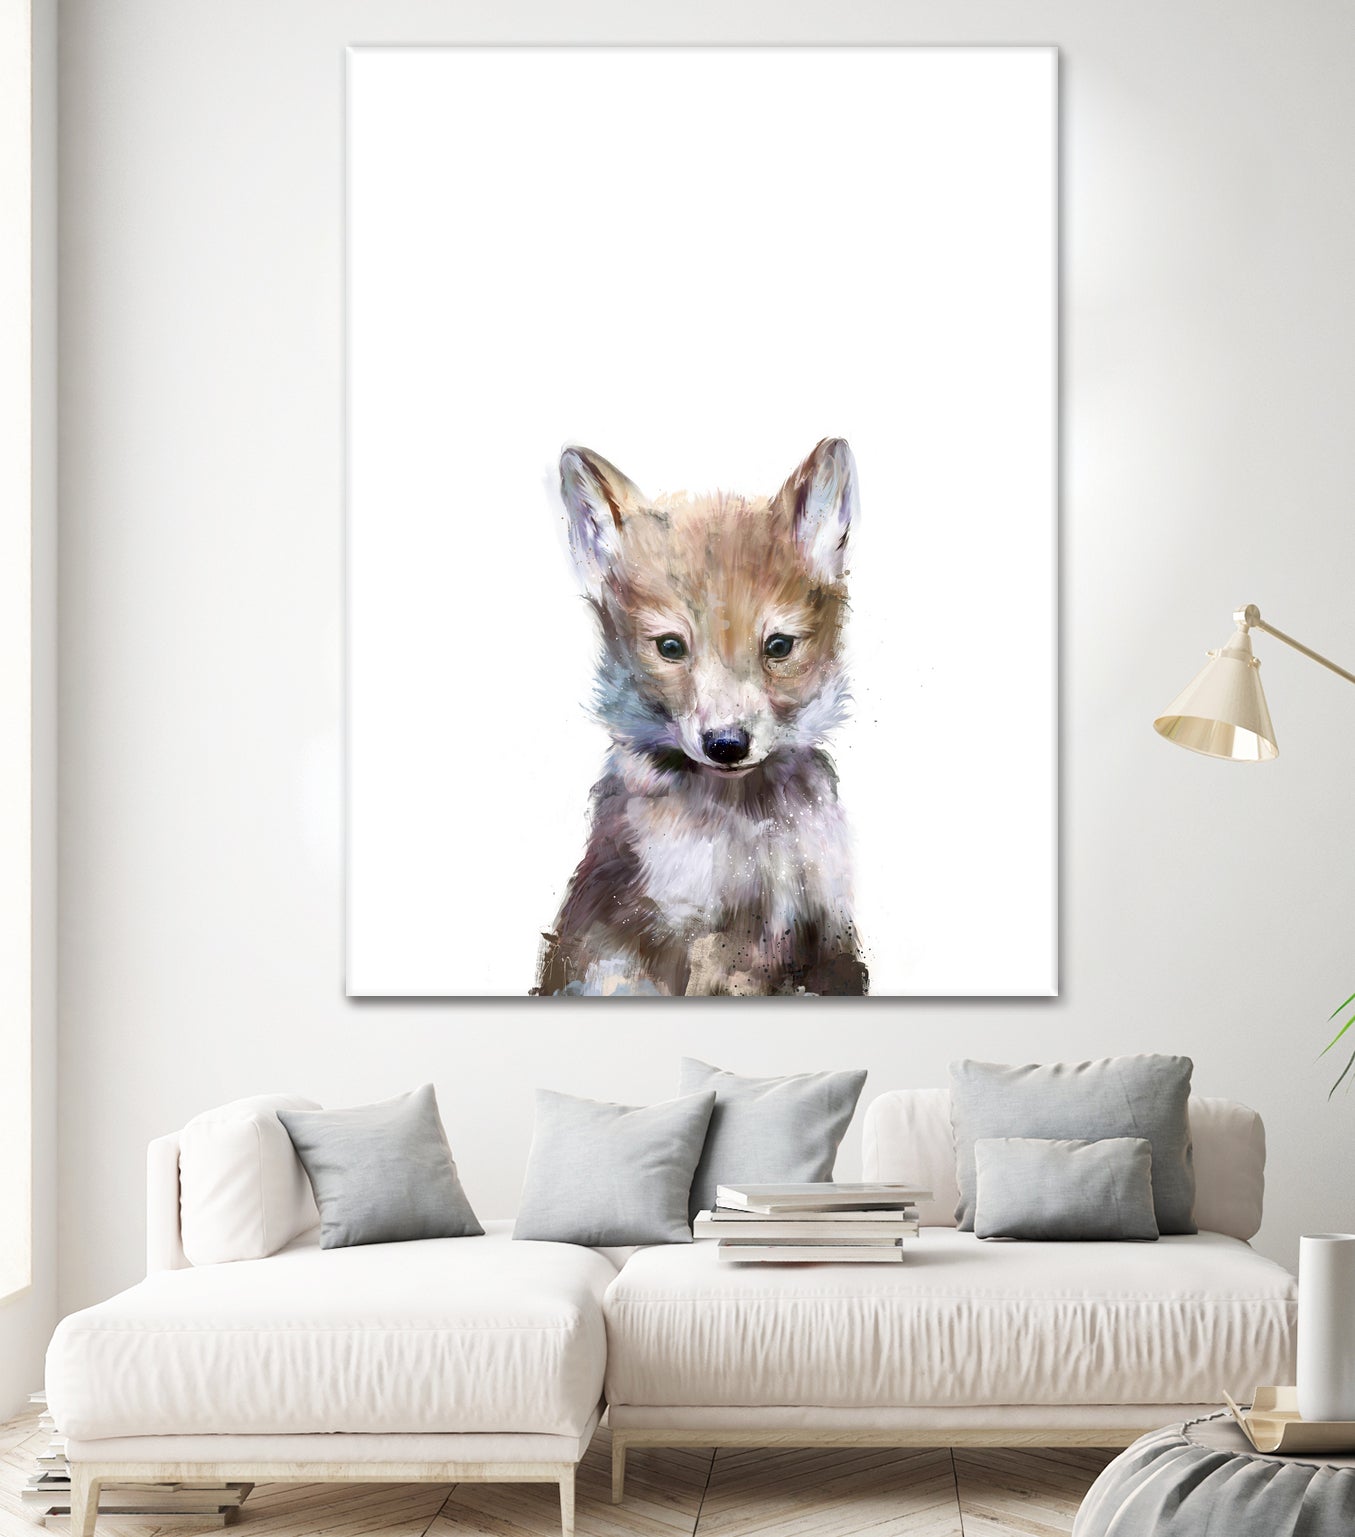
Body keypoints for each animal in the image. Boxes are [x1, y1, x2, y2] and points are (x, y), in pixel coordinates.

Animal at [533, 438, 868, 997]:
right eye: (670, 647)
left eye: (779, 646)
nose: (726, 745)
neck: (749, 831)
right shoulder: (688, 937)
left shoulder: (826, 932)